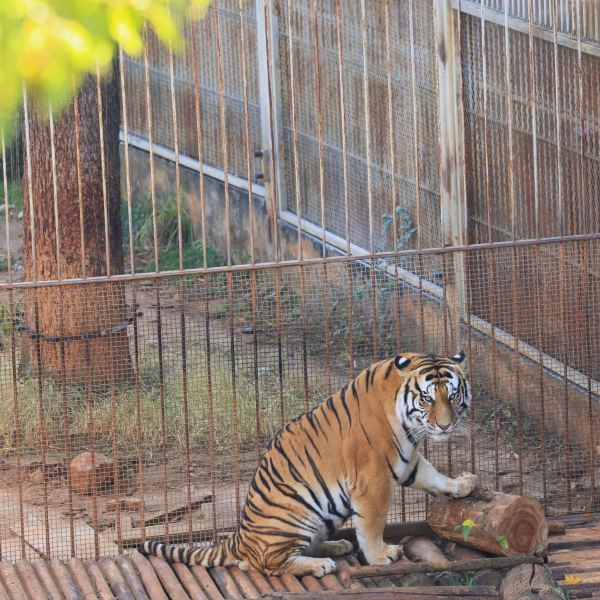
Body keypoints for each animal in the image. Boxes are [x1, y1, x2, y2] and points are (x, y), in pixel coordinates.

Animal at [138, 352, 476, 576]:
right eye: (427, 399)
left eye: (452, 395)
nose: (445, 426)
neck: (406, 422)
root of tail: (238, 537)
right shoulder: (373, 479)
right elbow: (371, 525)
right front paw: (380, 557)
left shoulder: (406, 460)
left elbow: (432, 475)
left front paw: (462, 484)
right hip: (293, 515)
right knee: (265, 564)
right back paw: (321, 564)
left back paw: (336, 547)